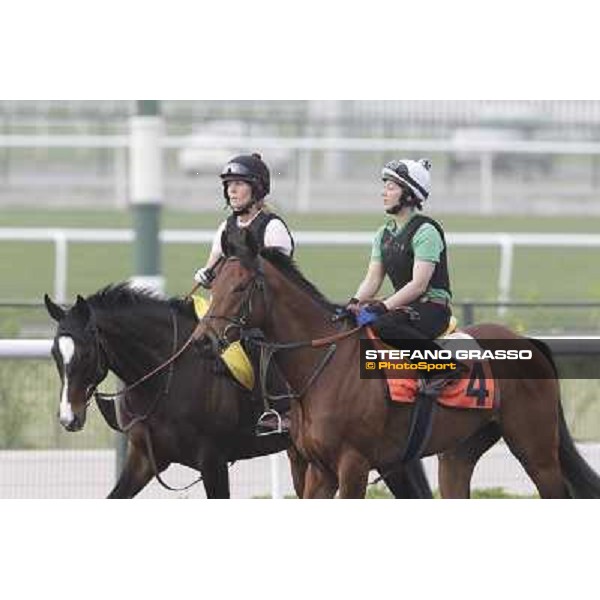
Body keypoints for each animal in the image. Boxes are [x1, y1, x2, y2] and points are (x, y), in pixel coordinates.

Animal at [44, 284, 434, 500]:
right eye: (54, 353)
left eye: (86, 354)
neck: (171, 371)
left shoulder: (214, 461)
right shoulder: (144, 459)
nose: (68, 417)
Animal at [199, 241, 600, 500]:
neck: (325, 365)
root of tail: (528, 341)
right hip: (459, 452)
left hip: (535, 447)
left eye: (240, 286)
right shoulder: (318, 470)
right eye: (214, 284)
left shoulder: (353, 465)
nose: (204, 339)